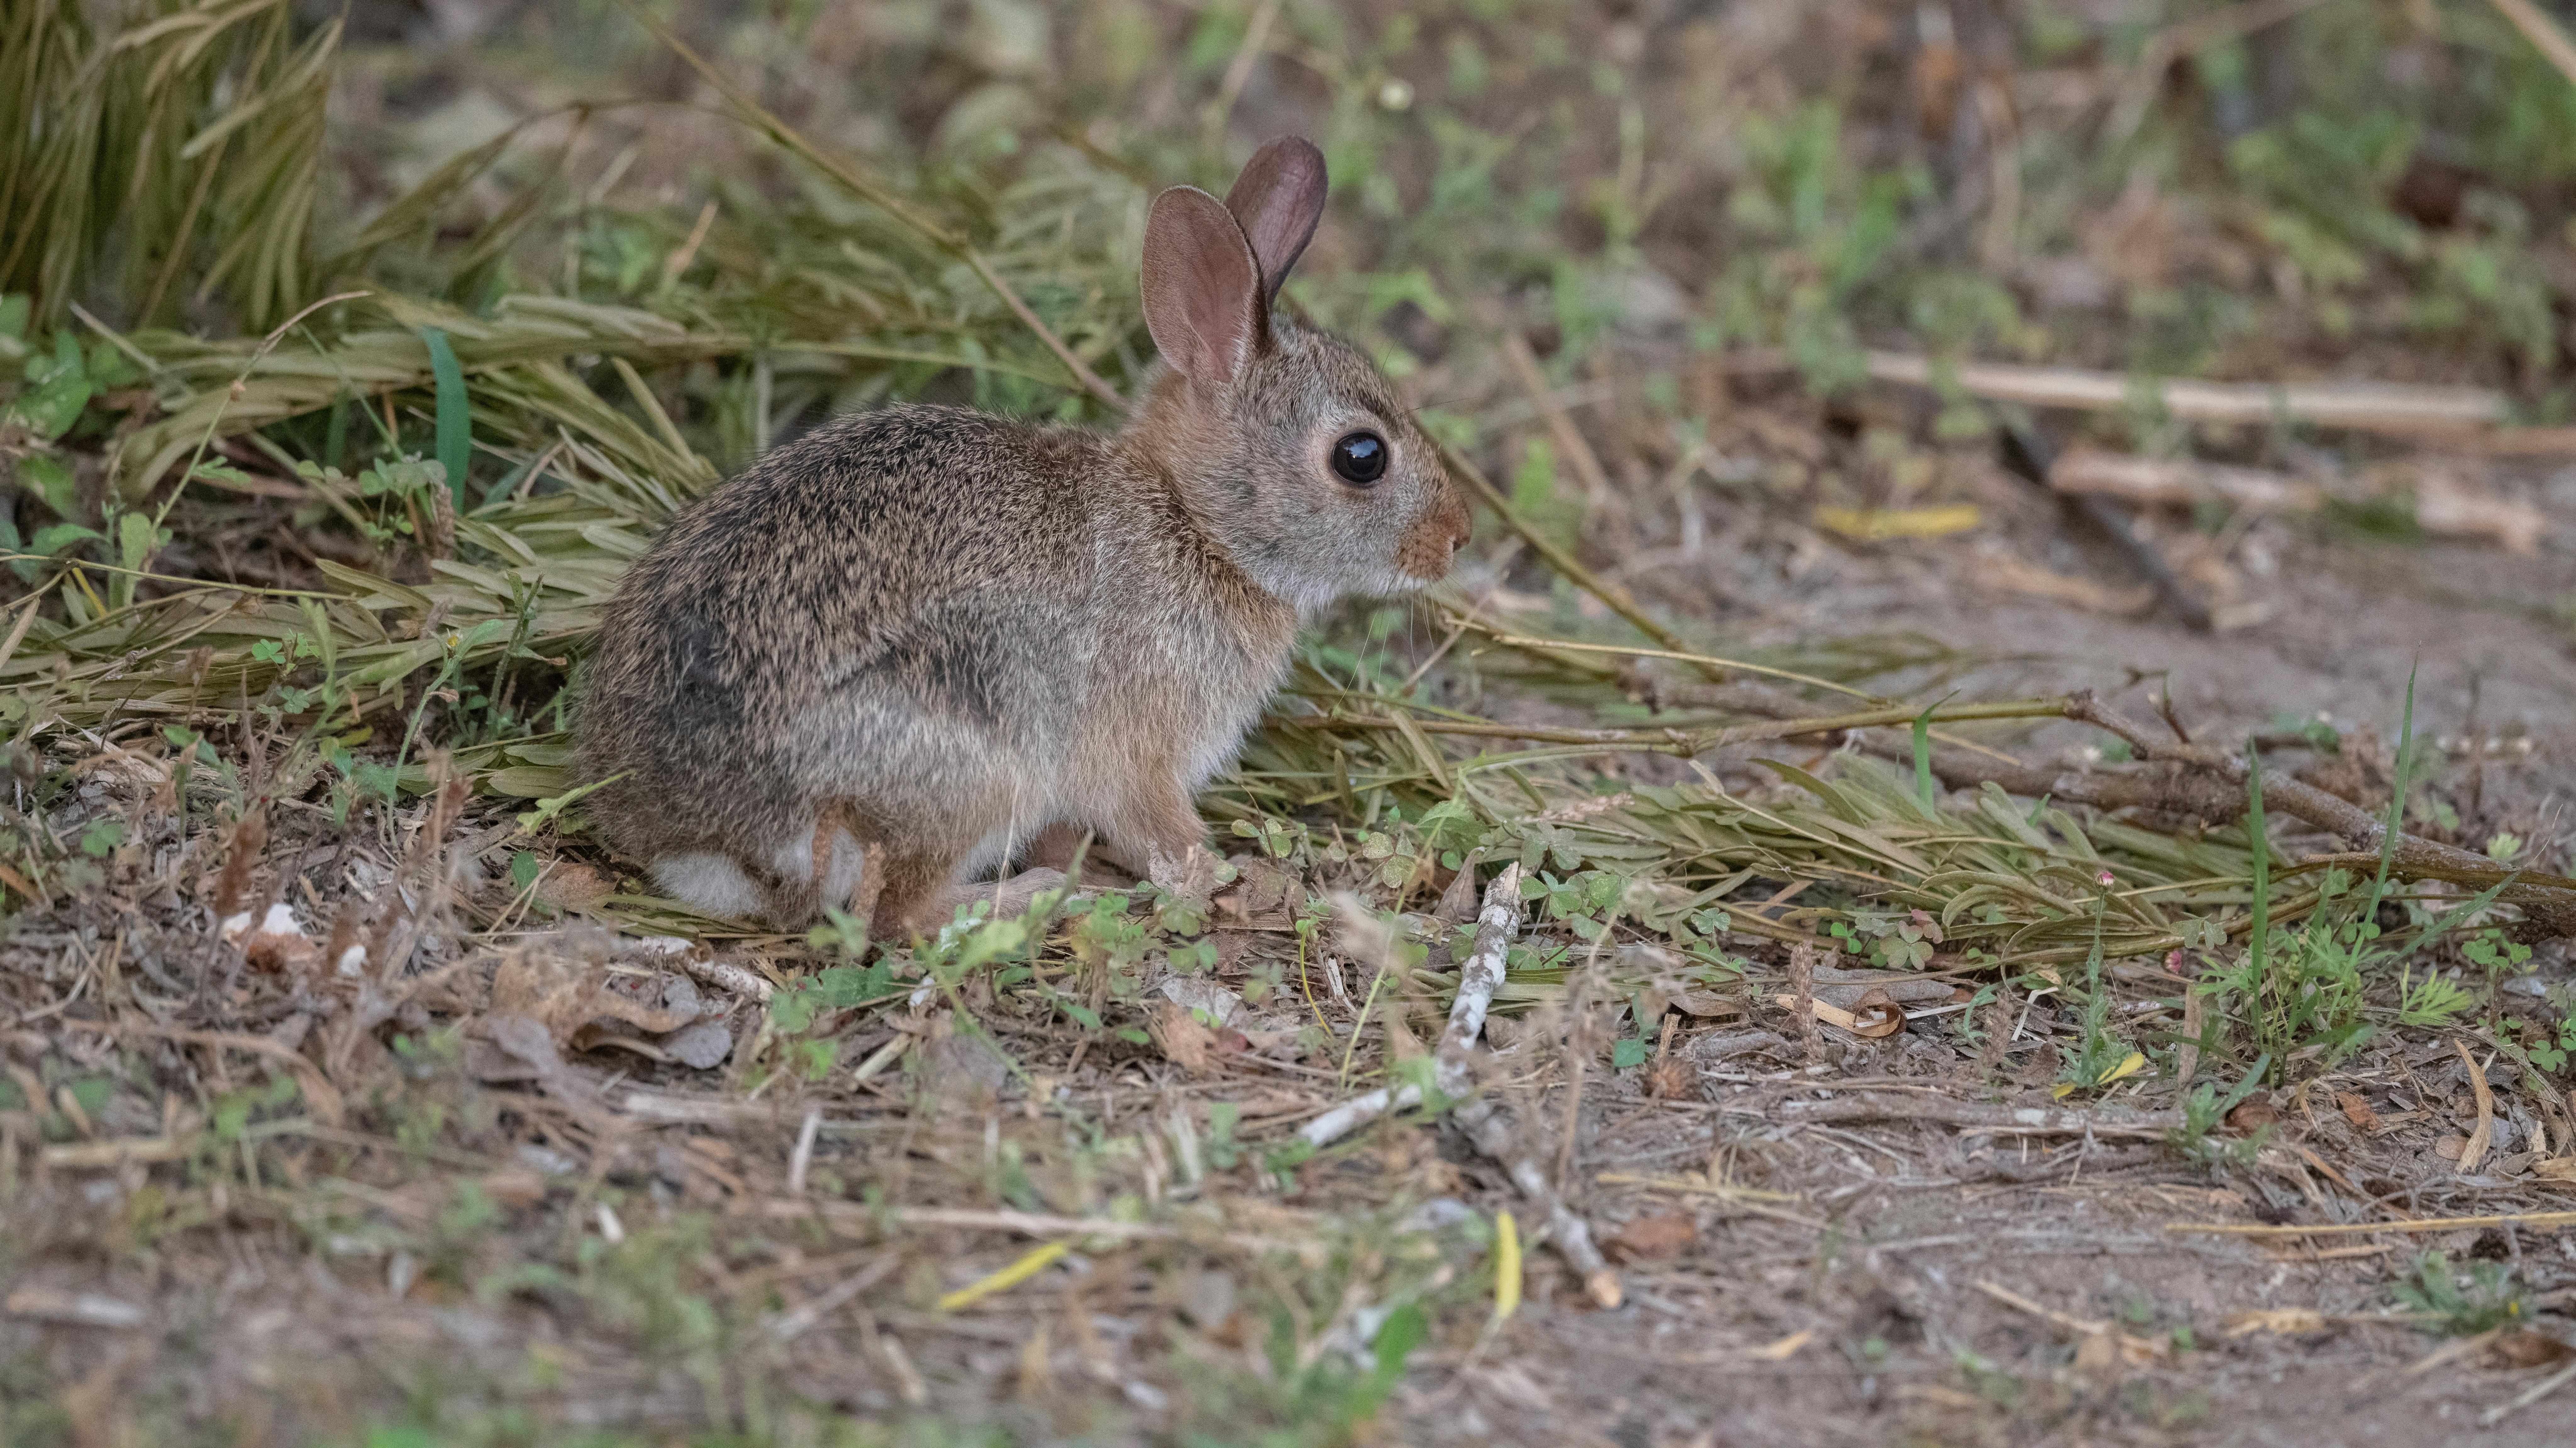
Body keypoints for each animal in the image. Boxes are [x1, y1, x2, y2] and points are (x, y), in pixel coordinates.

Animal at [580, 141, 1473, 927]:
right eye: (1361, 456)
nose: (1457, 537)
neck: (1198, 524)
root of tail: (700, 834)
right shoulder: (1137, 753)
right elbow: (1168, 838)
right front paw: (1239, 882)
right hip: (974, 762)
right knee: (901, 914)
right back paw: (1045, 896)